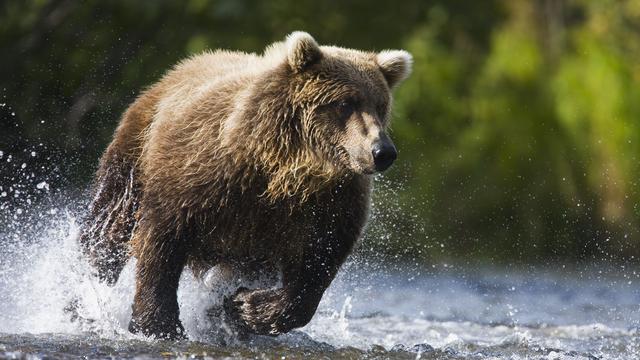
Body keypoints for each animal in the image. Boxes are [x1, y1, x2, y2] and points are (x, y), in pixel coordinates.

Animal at [80, 31, 412, 340]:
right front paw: (158, 325)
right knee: (109, 225)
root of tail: (180, 67)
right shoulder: (199, 176)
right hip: (136, 151)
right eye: (345, 102)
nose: (382, 151)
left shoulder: (328, 203)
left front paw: (246, 307)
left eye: (380, 105)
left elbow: (318, 262)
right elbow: (162, 239)